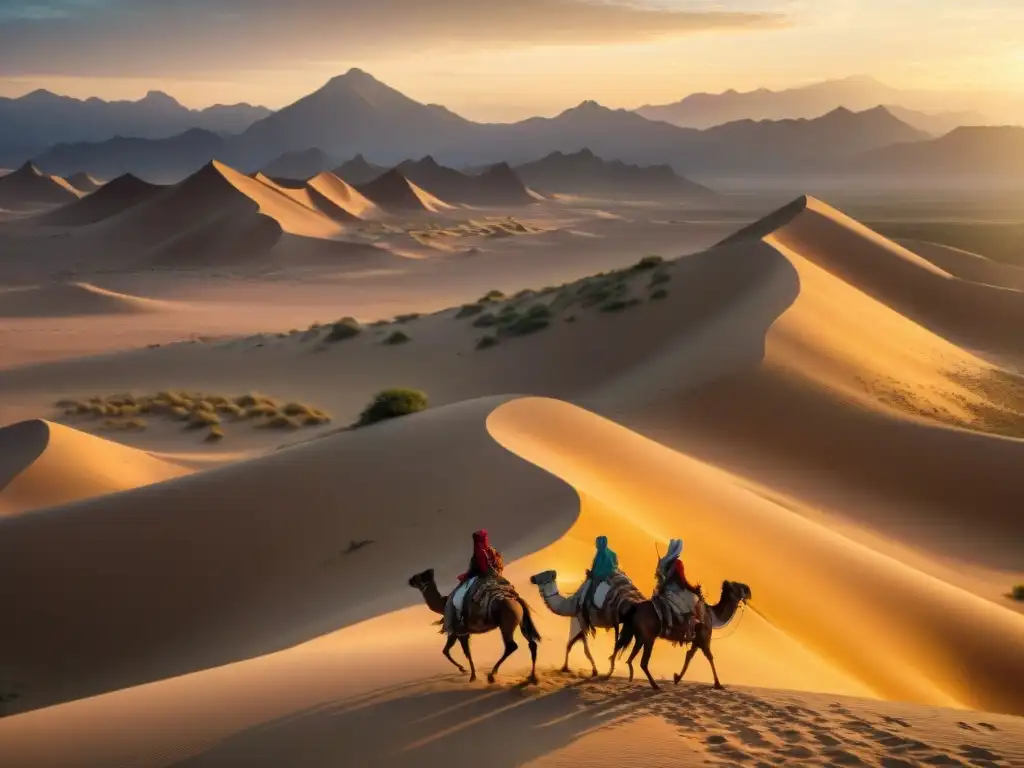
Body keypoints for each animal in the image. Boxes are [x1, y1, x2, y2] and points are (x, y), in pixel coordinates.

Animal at [405, 573, 540, 684]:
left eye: (417, 577)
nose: (409, 580)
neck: (444, 605)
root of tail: (516, 599)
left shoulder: (459, 631)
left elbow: (464, 653)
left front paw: (471, 675)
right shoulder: (457, 633)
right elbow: (448, 651)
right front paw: (464, 670)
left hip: (506, 624)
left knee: (511, 646)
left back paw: (492, 675)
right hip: (521, 621)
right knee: (532, 643)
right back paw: (532, 677)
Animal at [610, 581, 749, 692]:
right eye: (738, 586)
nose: (748, 590)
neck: (712, 616)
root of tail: (635, 607)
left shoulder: (696, 640)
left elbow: (689, 655)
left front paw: (677, 677)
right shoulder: (703, 638)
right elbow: (710, 657)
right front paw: (718, 684)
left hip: (639, 634)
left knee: (626, 652)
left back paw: (624, 675)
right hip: (649, 637)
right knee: (643, 662)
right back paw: (655, 685)